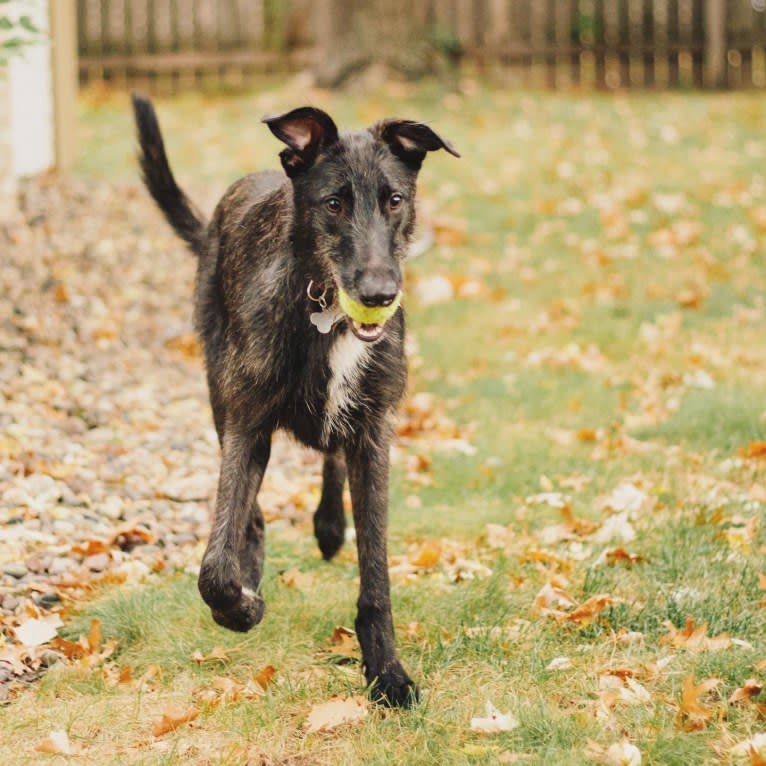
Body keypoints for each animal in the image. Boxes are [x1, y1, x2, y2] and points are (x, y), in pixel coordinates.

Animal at [130, 96, 462, 708]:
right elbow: (216, 563)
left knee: (330, 455)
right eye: (333, 203)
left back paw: (329, 525)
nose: (380, 294)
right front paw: (240, 604)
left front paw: (387, 672)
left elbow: (376, 574)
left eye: (395, 200)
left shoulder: (374, 431)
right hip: (219, 389)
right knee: (252, 513)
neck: (325, 311)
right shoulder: (247, 425)